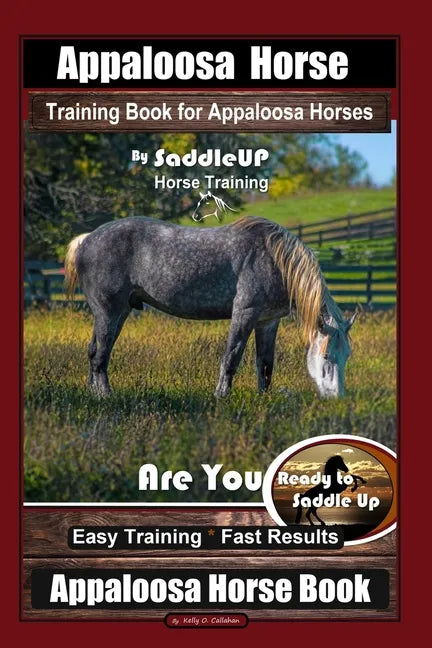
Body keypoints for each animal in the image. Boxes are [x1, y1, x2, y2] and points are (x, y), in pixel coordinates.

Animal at [64, 215, 357, 398]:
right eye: (327, 356)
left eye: (347, 356)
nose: (337, 397)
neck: (275, 260)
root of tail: (86, 239)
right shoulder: (244, 313)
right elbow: (232, 356)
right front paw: (221, 394)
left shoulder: (267, 321)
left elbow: (265, 363)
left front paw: (264, 397)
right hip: (108, 312)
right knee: (101, 356)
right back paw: (105, 395)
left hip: (117, 312)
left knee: (94, 352)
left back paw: (92, 392)